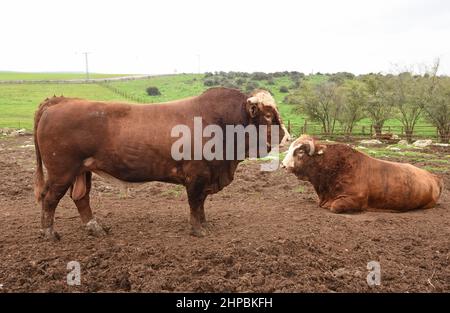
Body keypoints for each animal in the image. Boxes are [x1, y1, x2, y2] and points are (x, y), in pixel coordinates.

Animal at [34, 88, 288, 239]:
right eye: (267, 115)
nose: (286, 137)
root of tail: (60, 101)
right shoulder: (196, 175)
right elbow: (195, 203)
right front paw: (197, 230)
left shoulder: (206, 175)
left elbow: (201, 204)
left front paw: (204, 225)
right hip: (62, 171)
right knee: (50, 199)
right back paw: (49, 233)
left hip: (81, 170)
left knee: (81, 198)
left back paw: (95, 228)